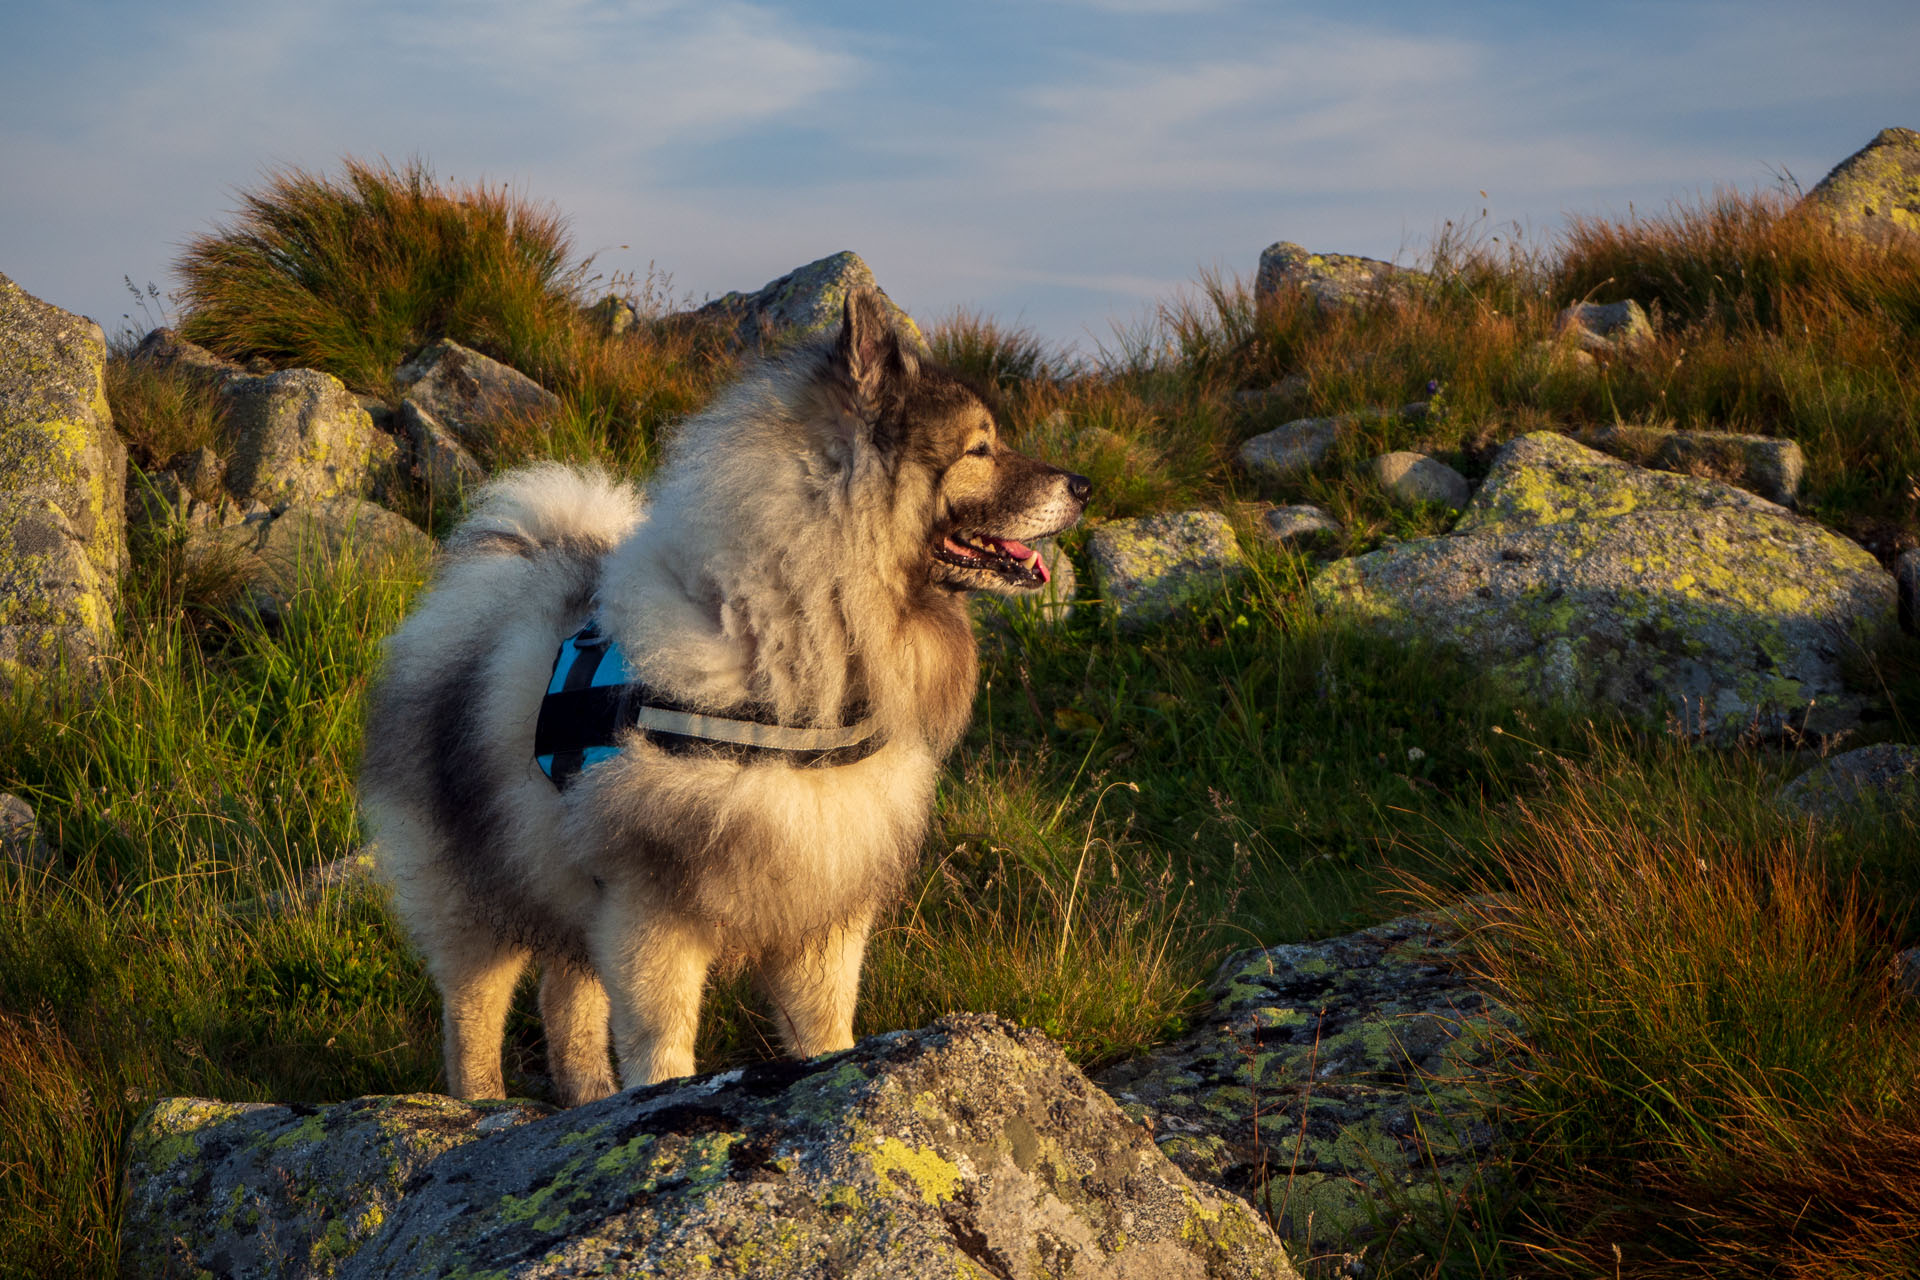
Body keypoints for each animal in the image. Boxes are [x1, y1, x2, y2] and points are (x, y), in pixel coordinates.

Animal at [360, 289, 1082, 1105]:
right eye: (979, 450)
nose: (1083, 487)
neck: (792, 642)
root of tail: (497, 579)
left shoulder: (822, 907)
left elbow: (825, 1031)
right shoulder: (652, 910)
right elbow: (662, 1044)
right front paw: (657, 1101)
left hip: (565, 879)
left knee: (565, 997)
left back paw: (590, 1103)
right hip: (473, 890)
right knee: (473, 1007)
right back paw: (482, 1104)